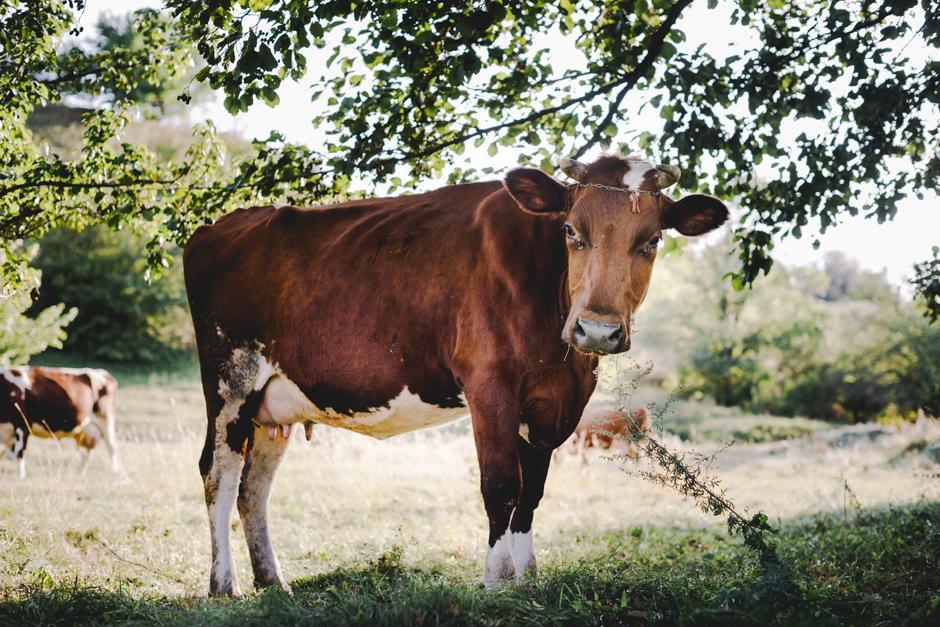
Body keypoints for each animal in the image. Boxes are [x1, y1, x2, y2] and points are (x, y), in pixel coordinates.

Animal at [184, 155, 728, 596]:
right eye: (572, 231)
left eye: (651, 240)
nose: (597, 330)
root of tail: (222, 224)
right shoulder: (489, 384)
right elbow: (501, 484)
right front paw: (495, 579)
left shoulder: (554, 404)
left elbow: (532, 492)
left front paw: (527, 576)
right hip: (230, 378)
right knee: (219, 473)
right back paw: (224, 584)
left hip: (272, 403)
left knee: (254, 488)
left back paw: (273, 582)